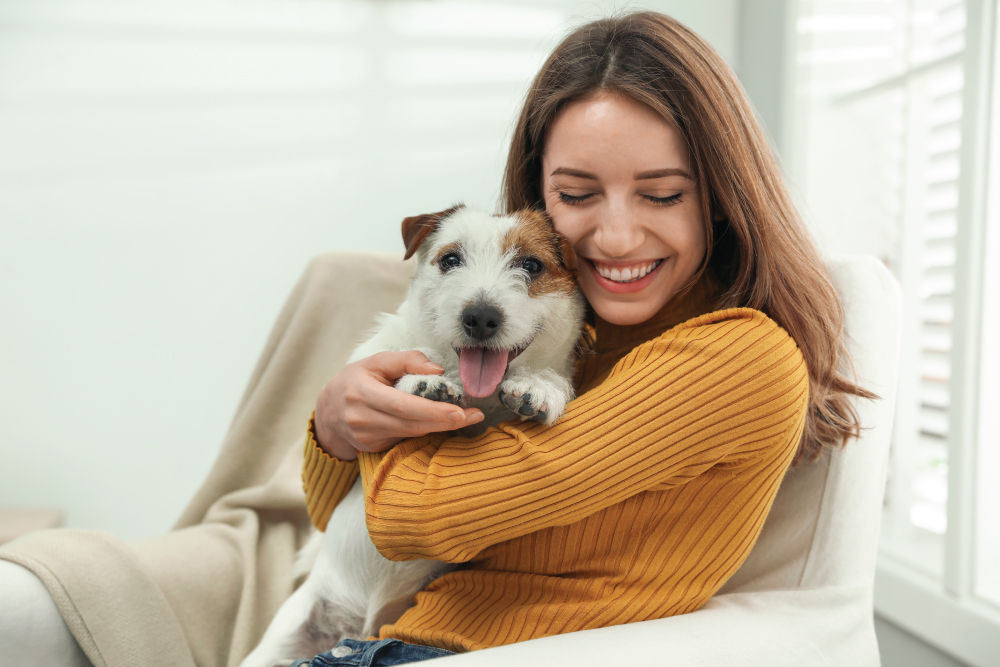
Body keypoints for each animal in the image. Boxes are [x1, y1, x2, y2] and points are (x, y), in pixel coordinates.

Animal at [240, 206, 584, 664]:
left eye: (531, 265)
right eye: (450, 259)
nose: (479, 317)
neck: (478, 393)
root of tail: (357, 627)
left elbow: (549, 380)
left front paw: (539, 386)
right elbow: (406, 358)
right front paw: (424, 380)